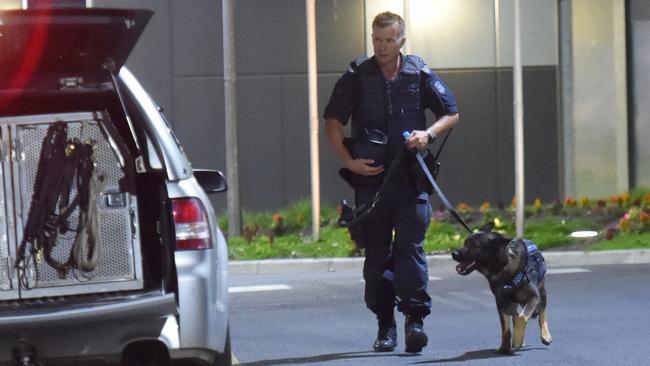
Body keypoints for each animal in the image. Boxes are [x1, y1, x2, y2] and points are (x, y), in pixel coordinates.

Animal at [450, 223, 552, 354]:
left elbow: (522, 318)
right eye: (464, 243)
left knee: (541, 312)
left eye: (474, 246)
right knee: (515, 315)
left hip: (541, 293)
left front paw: (517, 339)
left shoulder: (533, 297)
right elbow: (506, 328)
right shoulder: (501, 302)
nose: (453, 253)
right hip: (511, 303)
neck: (503, 264)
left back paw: (544, 335)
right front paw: (504, 347)